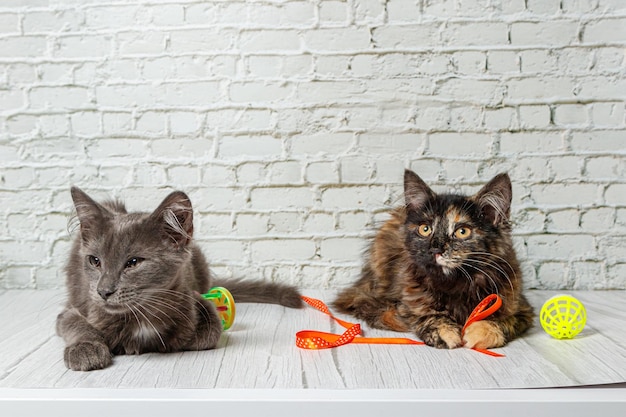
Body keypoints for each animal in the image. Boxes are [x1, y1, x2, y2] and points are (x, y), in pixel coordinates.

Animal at [57, 187, 302, 368]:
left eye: (133, 262)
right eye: (94, 261)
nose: (103, 291)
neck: (142, 316)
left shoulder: (193, 298)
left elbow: (210, 331)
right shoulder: (75, 309)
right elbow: (76, 324)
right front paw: (86, 349)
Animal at [332, 169, 532, 348]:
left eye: (462, 231)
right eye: (425, 229)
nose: (436, 247)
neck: (456, 284)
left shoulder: (521, 308)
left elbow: (502, 320)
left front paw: (483, 332)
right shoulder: (407, 303)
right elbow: (428, 315)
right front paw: (445, 331)